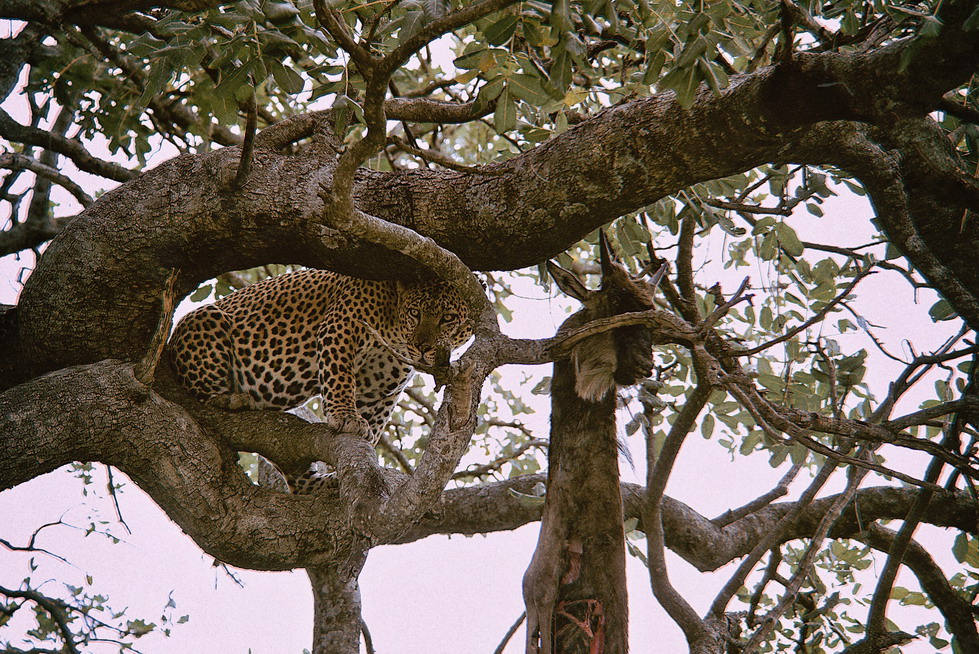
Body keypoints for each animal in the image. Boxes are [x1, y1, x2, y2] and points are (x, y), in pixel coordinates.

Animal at [168, 270, 474, 448]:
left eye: (448, 318)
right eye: (415, 314)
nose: (422, 347)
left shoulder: (382, 385)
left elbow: (375, 412)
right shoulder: (341, 324)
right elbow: (339, 377)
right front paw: (346, 417)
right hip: (206, 318)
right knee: (199, 390)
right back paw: (230, 398)